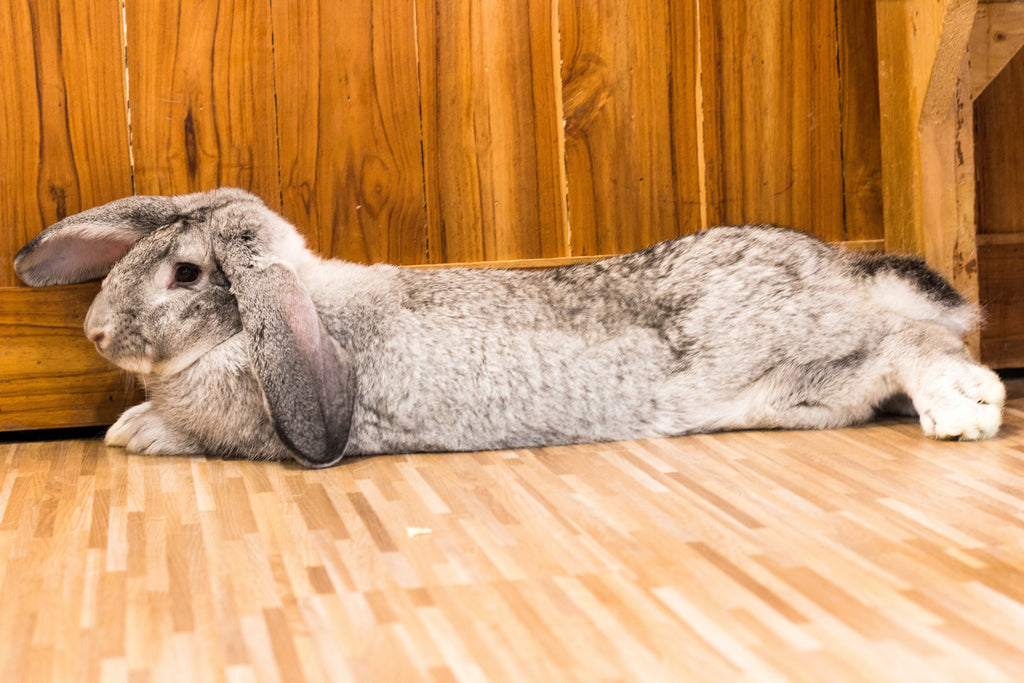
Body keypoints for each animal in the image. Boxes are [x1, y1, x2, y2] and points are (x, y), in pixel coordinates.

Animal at [14, 188, 1007, 471]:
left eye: (186, 275)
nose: (96, 333)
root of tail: (846, 270)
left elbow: (191, 432)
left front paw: (135, 430)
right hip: (799, 393)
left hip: (806, 357)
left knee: (914, 347)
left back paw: (965, 407)